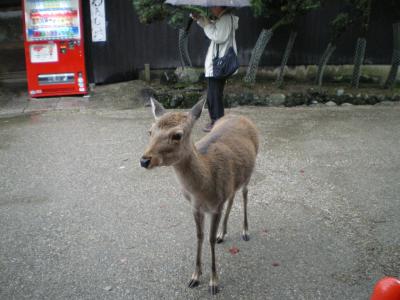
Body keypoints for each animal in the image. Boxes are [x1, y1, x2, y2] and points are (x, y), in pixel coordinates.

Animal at [141, 97, 260, 294]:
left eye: (177, 135)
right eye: (150, 131)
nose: (144, 160)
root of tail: (241, 116)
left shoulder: (216, 207)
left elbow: (209, 239)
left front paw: (214, 282)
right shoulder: (195, 207)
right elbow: (199, 236)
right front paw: (195, 277)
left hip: (250, 170)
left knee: (244, 194)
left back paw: (245, 231)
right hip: (233, 182)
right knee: (232, 197)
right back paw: (222, 233)